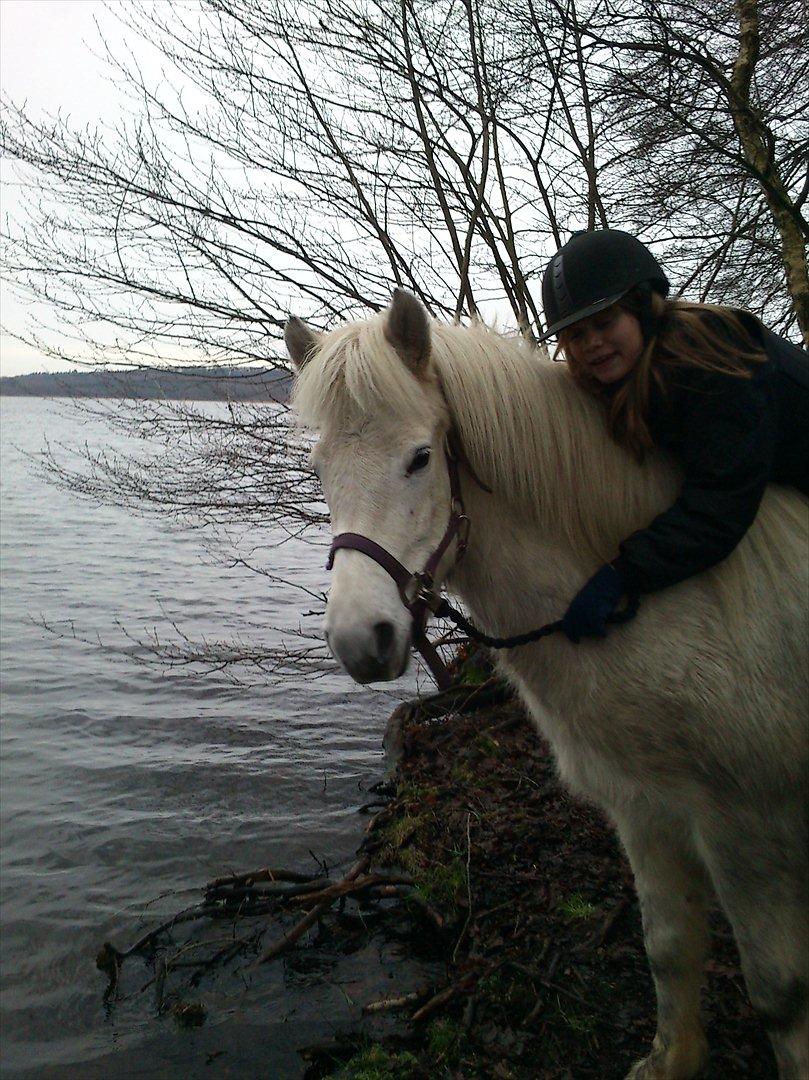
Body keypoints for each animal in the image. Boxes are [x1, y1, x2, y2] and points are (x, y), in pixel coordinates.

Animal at [287, 289, 803, 1080]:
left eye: (421, 458)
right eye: (319, 468)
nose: (357, 639)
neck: (662, 597)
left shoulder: (747, 825)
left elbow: (777, 992)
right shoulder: (646, 808)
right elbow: (669, 947)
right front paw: (671, 1059)